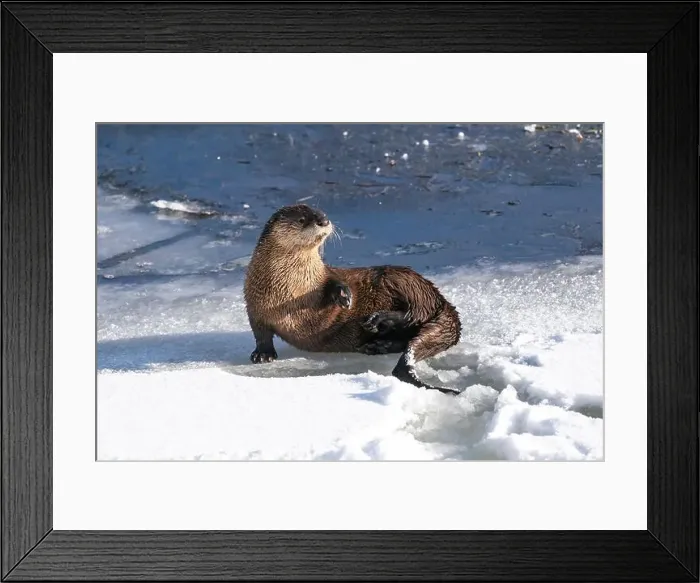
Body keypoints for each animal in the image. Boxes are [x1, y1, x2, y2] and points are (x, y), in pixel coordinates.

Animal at [243, 204, 462, 395]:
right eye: (302, 219)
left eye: (322, 212)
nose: (324, 221)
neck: (292, 290)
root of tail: (440, 299)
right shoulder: (254, 305)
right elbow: (261, 334)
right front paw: (262, 355)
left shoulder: (325, 276)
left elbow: (336, 282)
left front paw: (344, 296)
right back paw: (378, 345)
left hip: (403, 280)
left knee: (414, 314)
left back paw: (379, 321)